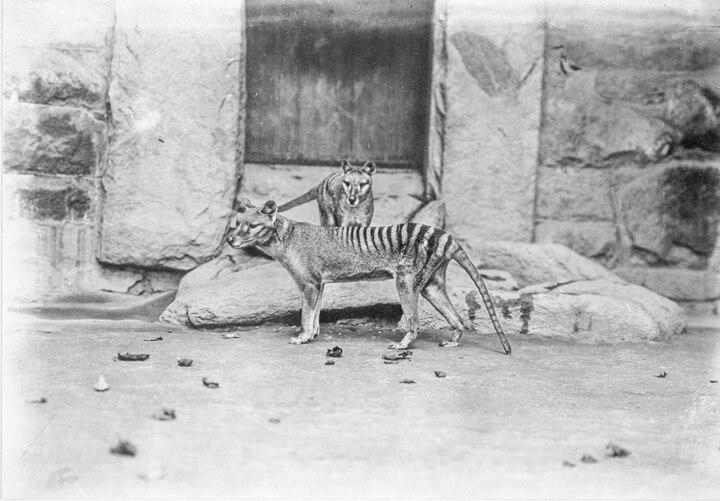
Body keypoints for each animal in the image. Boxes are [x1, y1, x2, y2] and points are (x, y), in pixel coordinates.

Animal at [225, 199, 512, 354]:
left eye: (252, 225)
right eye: (237, 223)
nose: (229, 240)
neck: (287, 236)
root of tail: (446, 237)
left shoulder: (308, 284)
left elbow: (306, 314)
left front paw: (303, 337)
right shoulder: (319, 284)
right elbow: (315, 313)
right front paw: (314, 335)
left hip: (406, 282)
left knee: (415, 323)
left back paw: (402, 345)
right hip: (431, 286)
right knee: (458, 319)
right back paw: (453, 341)